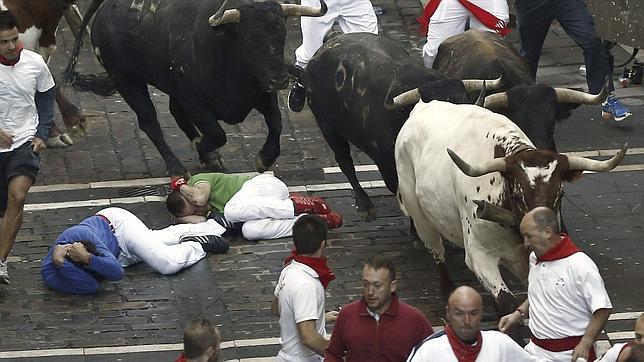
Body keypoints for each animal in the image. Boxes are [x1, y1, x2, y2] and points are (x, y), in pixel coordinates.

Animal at [65, 0, 324, 176]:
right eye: (250, 38)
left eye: (281, 35)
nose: (280, 80)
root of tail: (106, 9)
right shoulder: (193, 99)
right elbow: (217, 133)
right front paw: (203, 148)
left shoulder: (262, 93)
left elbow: (276, 124)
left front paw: (264, 159)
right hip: (126, 80)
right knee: (149, 121)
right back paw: (177, 167)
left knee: (175, 112)